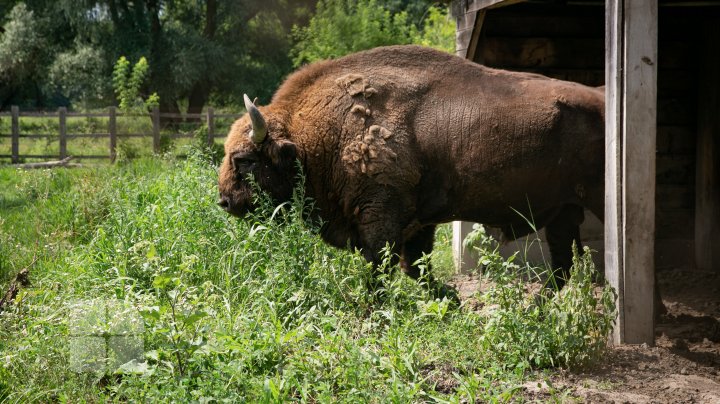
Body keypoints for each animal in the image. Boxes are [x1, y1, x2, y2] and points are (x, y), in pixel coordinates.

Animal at [217, 45, 604, 288]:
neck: (315, 137)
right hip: (563, 210)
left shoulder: (382, 216)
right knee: (562, 266)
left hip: (592, 200)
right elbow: (416, 267)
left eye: (244, 159)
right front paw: (450, 303)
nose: (225, 201)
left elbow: (382, 266)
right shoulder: (420, 222)